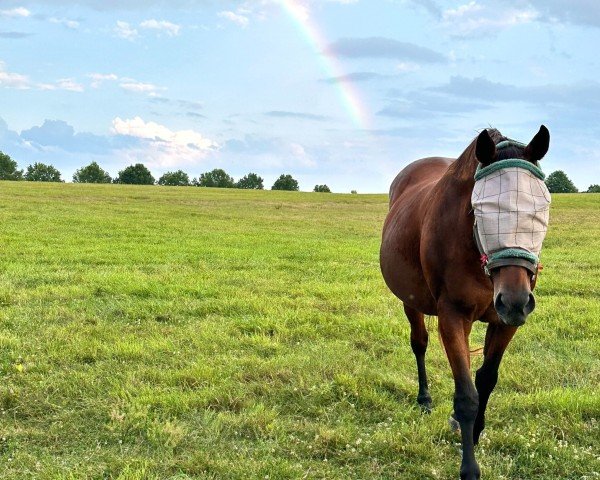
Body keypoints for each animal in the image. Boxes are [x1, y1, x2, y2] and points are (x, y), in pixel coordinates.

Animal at [382, 125, 552, 478]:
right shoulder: (452, 316)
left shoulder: (504, 323)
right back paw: (424, 398)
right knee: (419, 343)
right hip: (411, 301)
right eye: (482, 209)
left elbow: (485, 380)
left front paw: (474, 431)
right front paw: (469, 467)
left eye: (541, 210)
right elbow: (466, 397)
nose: (515, 301)